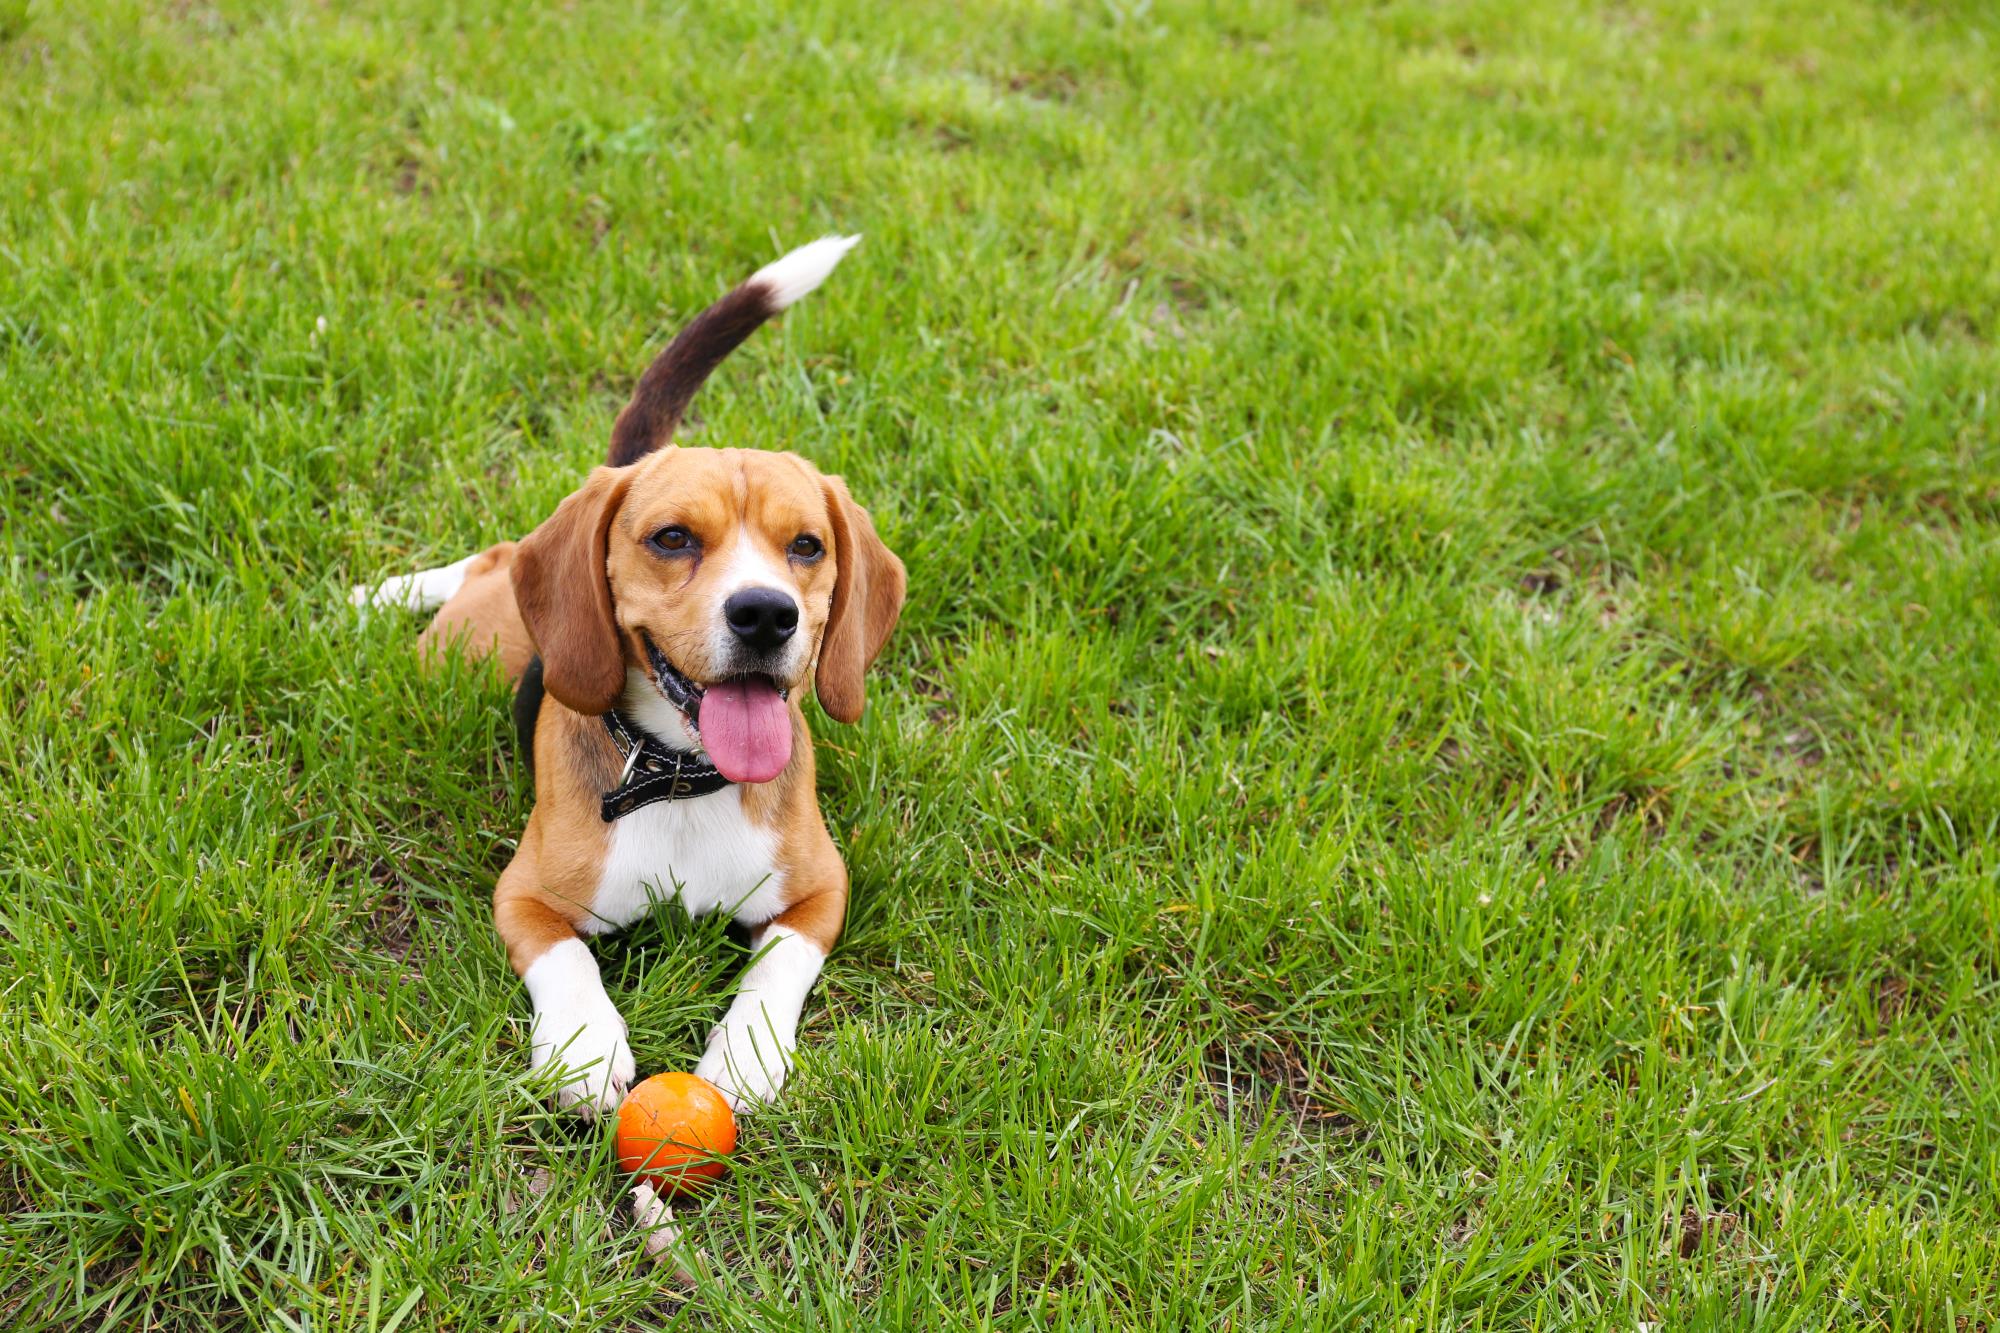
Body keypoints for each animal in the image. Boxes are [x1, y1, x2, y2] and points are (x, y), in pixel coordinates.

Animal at [360, 236, 908, 1112]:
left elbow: (778, 964)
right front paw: (583, 1045)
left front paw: (747, 1053)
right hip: (464, 644)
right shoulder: (525, 894)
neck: (679, 778)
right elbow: (569, 959)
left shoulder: (821, 892)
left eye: (807, 546)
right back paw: (386, 593)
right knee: (495, 556)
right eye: (673, 537)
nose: (766, 614)